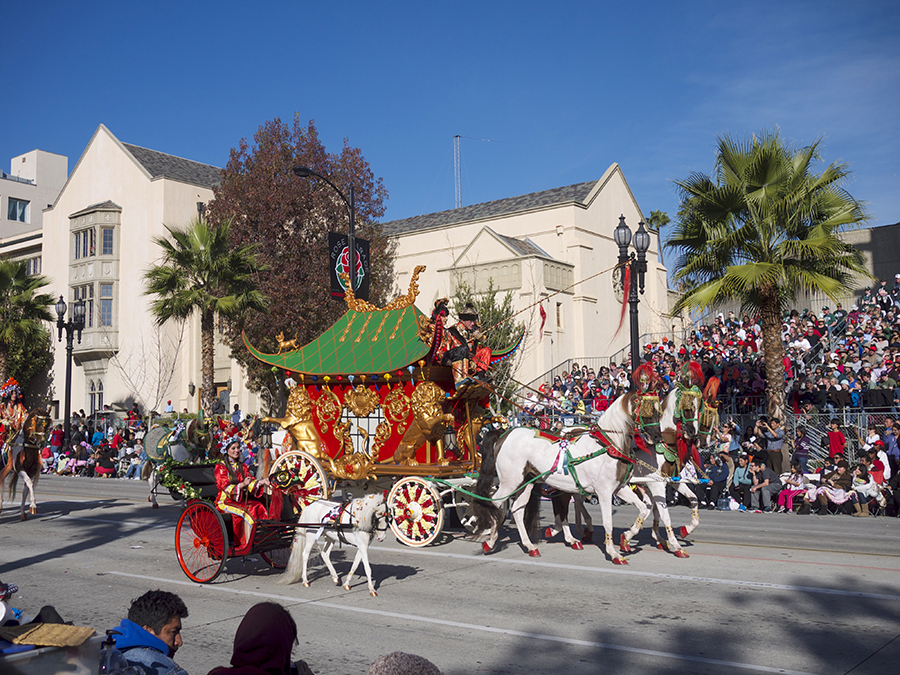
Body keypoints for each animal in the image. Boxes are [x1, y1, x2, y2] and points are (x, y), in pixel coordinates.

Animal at [474, 394, 656, 568]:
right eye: (648, 409)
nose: (657, 434)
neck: (607, 446)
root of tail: (504, 434)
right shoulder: (603, 492)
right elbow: (607, 522)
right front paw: (614, 554)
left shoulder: (619, 488)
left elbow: (643, 509)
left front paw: (626, 538)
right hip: (509, 483)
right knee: (495, 505)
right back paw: (490, 541)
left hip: (525, 484)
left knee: (517, 510)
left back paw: (530, 546)